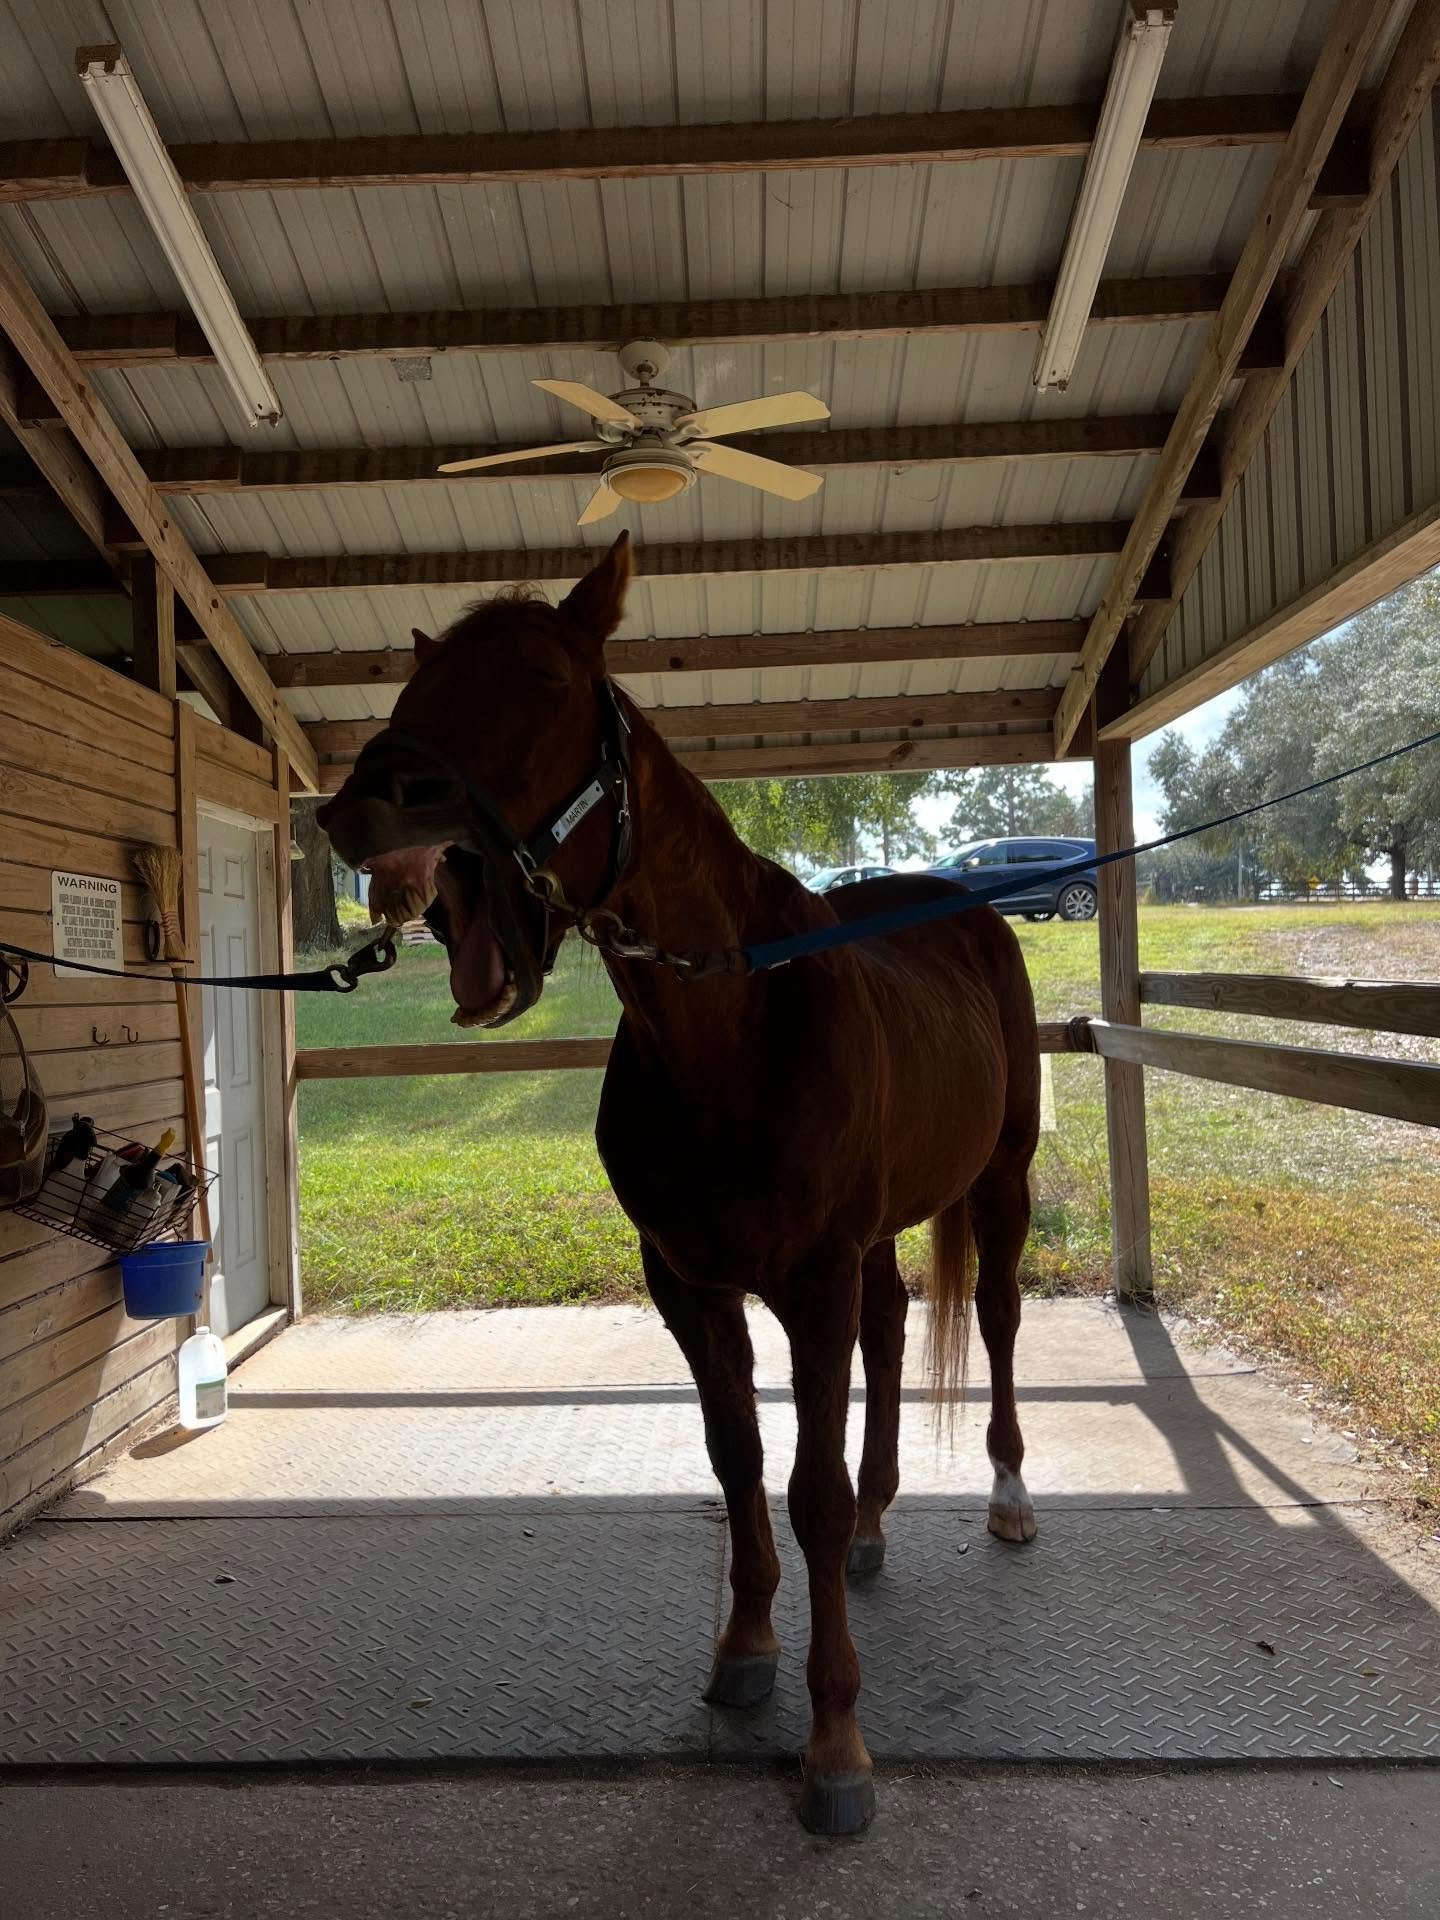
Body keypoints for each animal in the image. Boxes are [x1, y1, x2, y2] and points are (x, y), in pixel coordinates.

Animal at [318, 532, 1041, 1835]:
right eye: (415, 686)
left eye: (545, 679)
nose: (360, 808)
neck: (733, 1022)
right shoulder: (691, 1285)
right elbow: (739, 1461)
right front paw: (747, 1650)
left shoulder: (808, 1282)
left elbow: (804, 1488)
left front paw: (836, 1744)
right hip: (872, 1241)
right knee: (895, 1326)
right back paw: (880, 1518)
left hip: (1002, 1179)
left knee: (999, 1318)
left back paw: (1006, 1494)